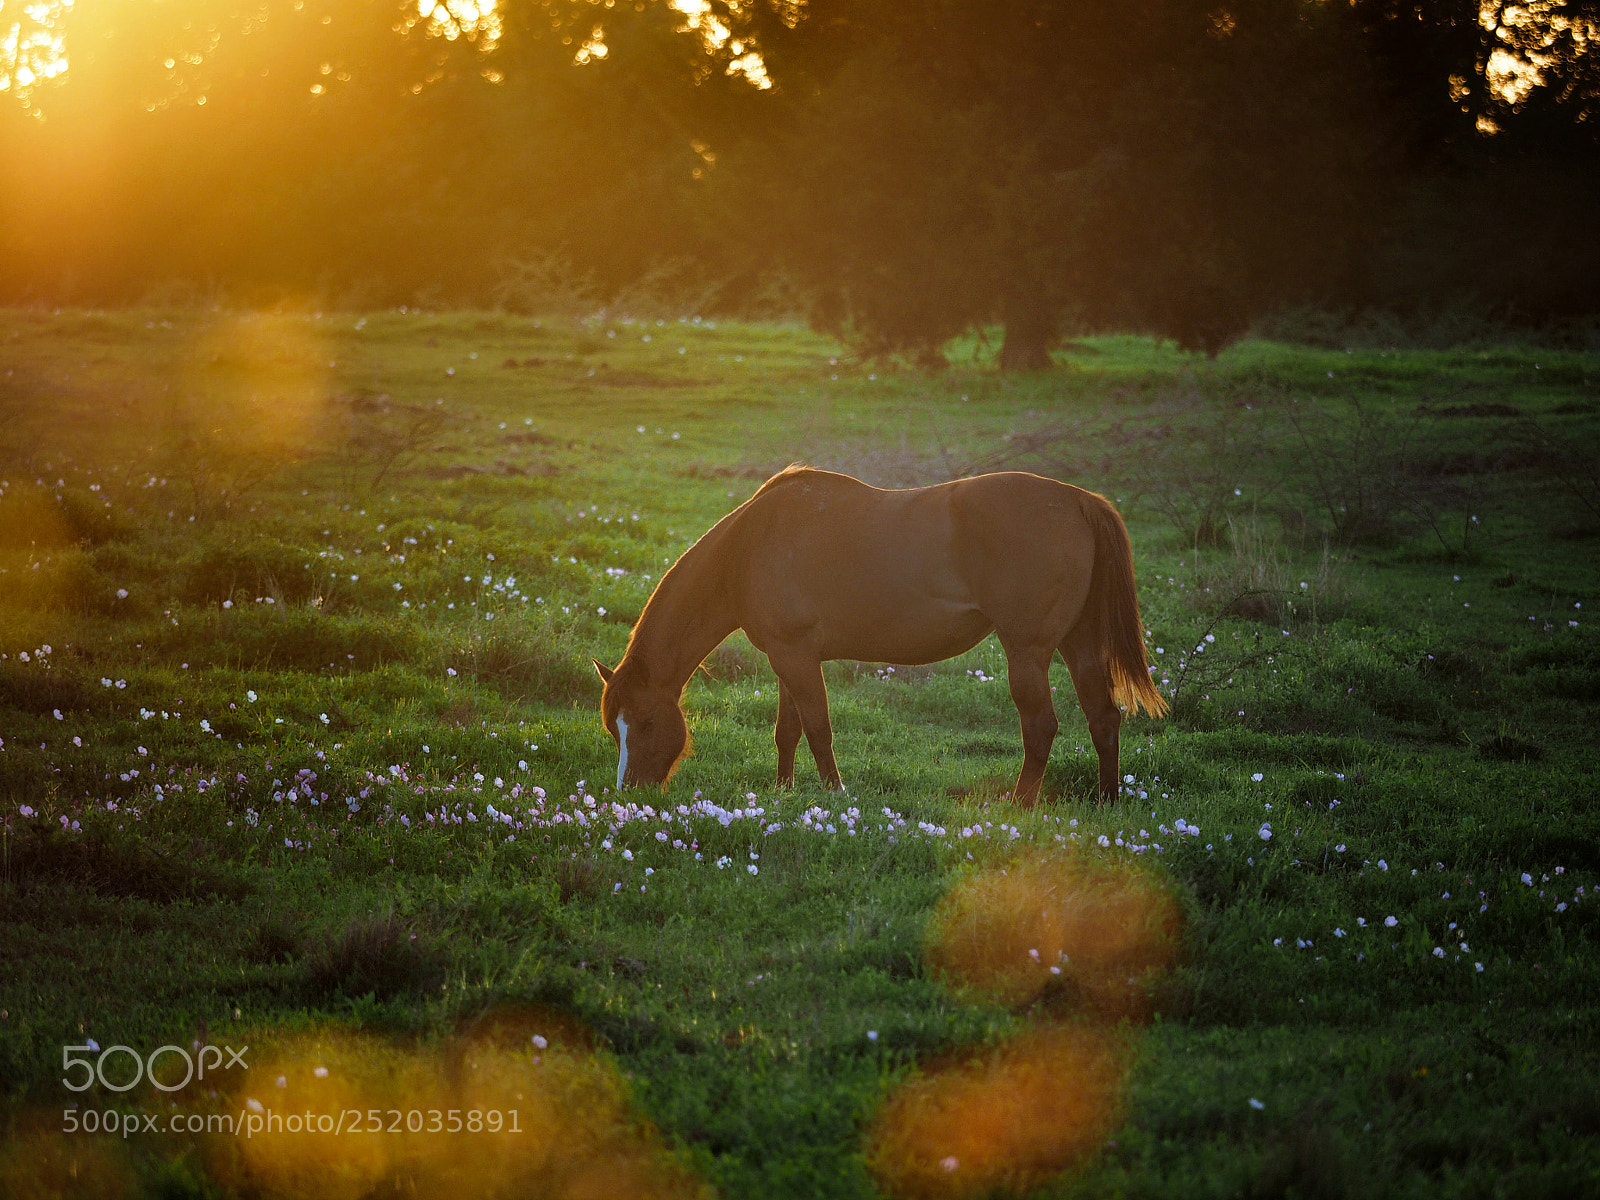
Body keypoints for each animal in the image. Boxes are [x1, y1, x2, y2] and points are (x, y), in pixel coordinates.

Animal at [593, 467, 1166, 806]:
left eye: (646, 723)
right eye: (612, 729)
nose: (631, 793)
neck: (749, 548)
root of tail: (1077, 500)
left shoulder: (797, 657)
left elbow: (818, 728)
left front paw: (834, 793)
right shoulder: (787, 657)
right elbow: (787, 731)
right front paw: (782, 792)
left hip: (1027, 650)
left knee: (1041, 726)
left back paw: (1019, 804)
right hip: (1078, 643)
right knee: (1103, 716)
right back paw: (1107, 799)